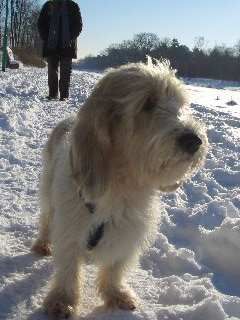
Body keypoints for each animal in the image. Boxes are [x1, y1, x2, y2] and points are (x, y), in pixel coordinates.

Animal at [31, 59, 208, 318]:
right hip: (49, 191)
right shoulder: (70, 227)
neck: (123, 184)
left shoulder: (129, 231)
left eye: (180, 104)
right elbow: (68, 269)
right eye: (148, 103)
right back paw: (42, 243)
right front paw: (62, 301)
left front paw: (116, 294)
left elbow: (116, 267)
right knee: (46, 218)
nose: (194, 140)